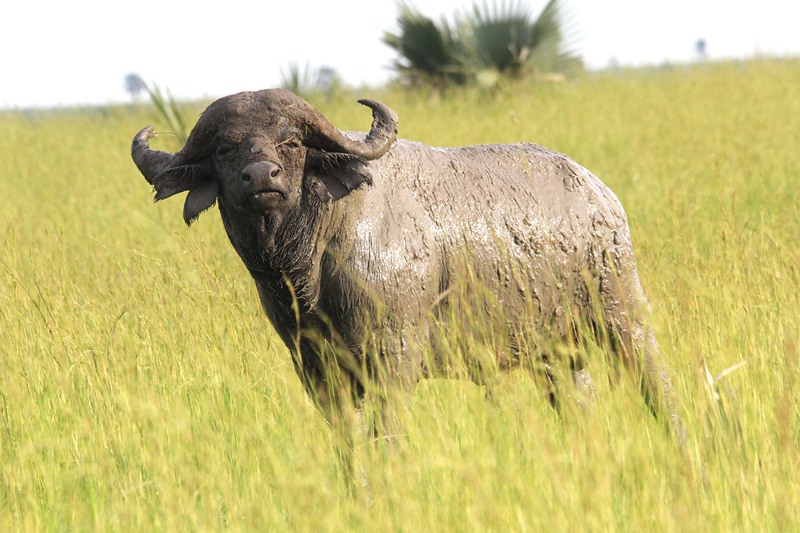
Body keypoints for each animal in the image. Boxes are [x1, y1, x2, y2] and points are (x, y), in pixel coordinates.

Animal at [130, 89, 680, 472]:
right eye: (225, 148)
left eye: (291, 140)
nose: (262, 177)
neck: (311, 263)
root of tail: (599, 194)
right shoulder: (315, 369)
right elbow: (350, 447)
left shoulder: (391, 361)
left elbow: (386, 440)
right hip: (557, 354)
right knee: (577, 405)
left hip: (623, 313)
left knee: (658, 385)